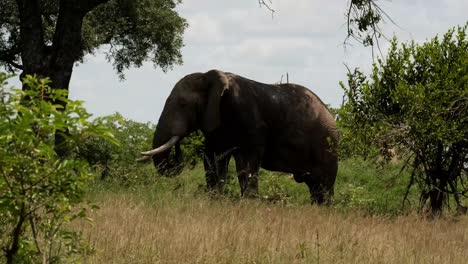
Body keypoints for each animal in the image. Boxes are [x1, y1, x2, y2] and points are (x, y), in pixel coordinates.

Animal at [137, 69, 338, 203]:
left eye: (183, 104)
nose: (177, 148)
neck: (209, 77)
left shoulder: (250, 120)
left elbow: (246, 160)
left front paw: (248, 202)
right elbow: (213, 158)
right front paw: (215, 199)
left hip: (326, 144)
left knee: (323, 184)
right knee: (315, 186)